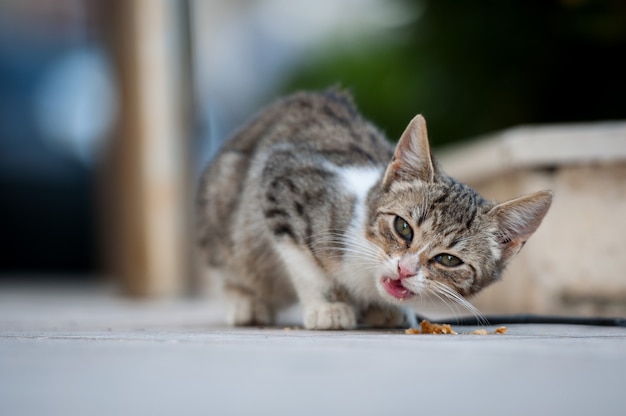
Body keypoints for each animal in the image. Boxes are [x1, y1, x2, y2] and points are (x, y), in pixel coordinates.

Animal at [196, 89, 552, 330]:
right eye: (403, 227)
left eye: (449, 260)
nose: (405, 269)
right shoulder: (282, 179)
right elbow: (302, 262)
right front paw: (328, 307)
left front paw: (382, 310)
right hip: (224, 204)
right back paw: (245, 302)